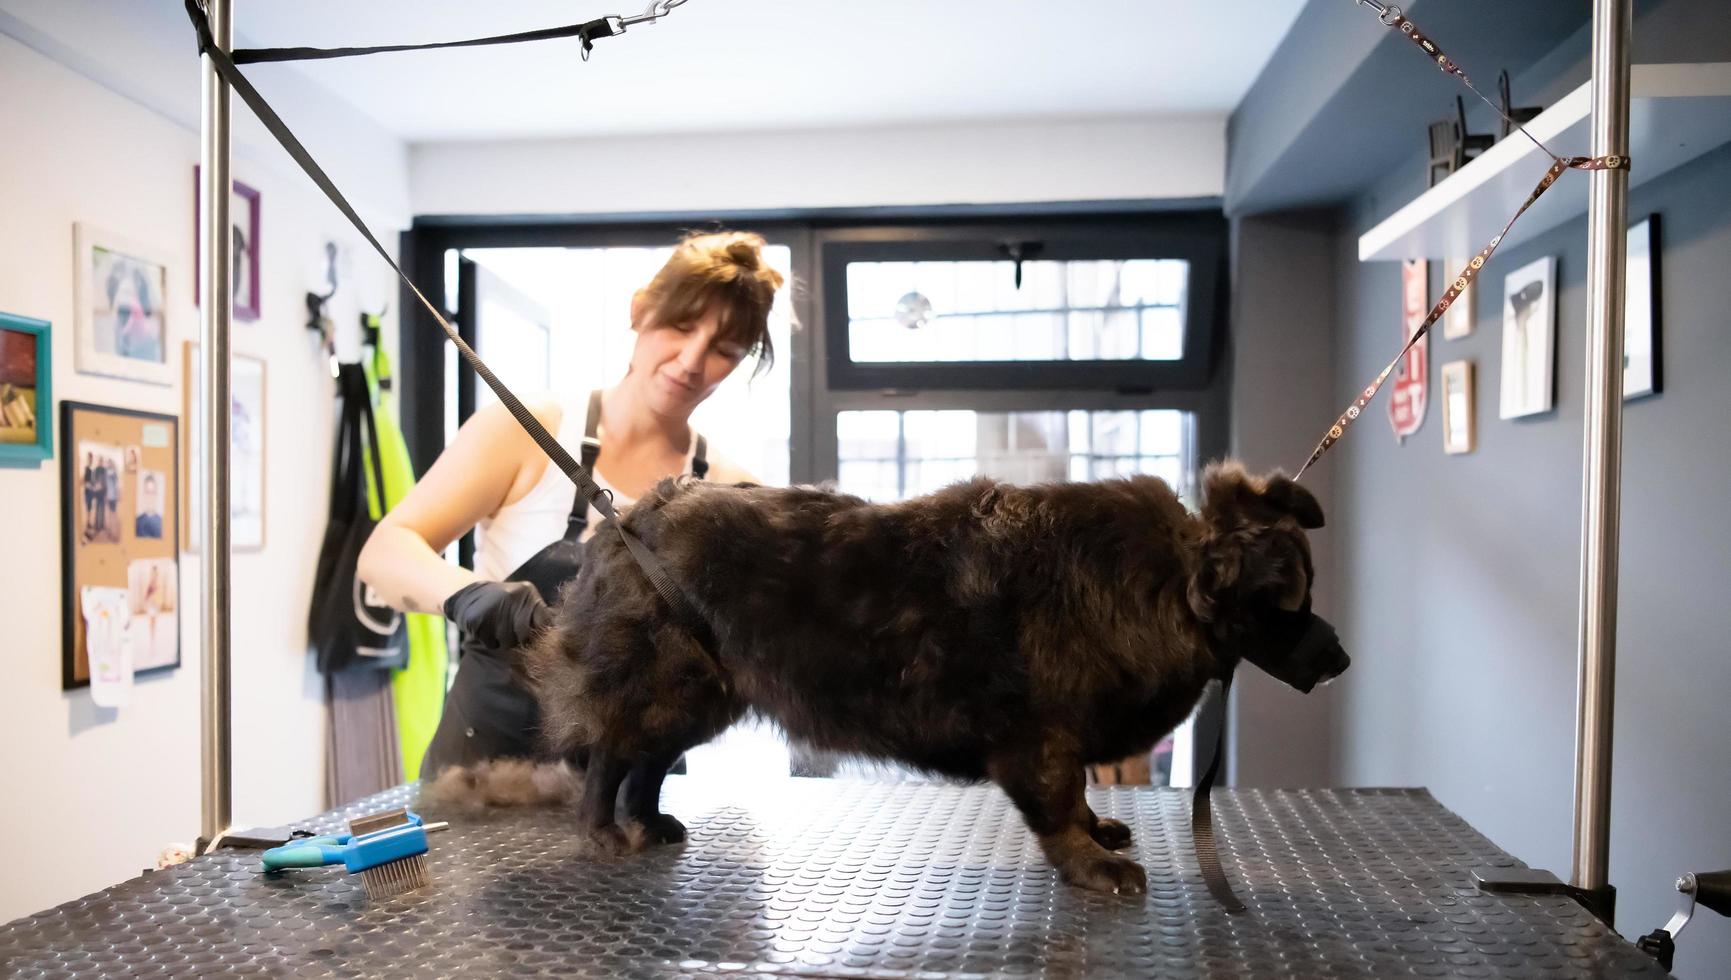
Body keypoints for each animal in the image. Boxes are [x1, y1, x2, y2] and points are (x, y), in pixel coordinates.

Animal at [519, 467, 1343, 900]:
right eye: (1290, 607)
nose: (1340, 658)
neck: (1157, 588)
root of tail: (629, 519)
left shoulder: (1060, 739)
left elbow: (1077, 794)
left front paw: (1096, 831)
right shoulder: (1036, 742)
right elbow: (1058, 808)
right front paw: (1090, 861)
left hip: (704, 694)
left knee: (648, 761)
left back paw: (647, 821)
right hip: (662, 683)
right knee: (612, 755)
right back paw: (602, 831)